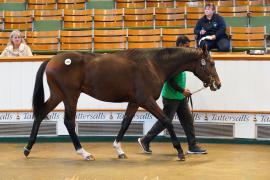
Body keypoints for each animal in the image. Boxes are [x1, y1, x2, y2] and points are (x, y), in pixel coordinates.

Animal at [23, 45, 221, 160]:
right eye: (211, 63)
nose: (218, 84)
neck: (154, 64)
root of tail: (52, 59)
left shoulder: (134, 102)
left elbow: (125, 123)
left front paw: (119, 150)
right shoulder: (146, 100)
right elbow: (165, 120)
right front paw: (179, 151)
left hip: (58, 95)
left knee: (40, 114)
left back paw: (27, 148)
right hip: (70, 96)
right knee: (69, 122)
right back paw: (84, 153)